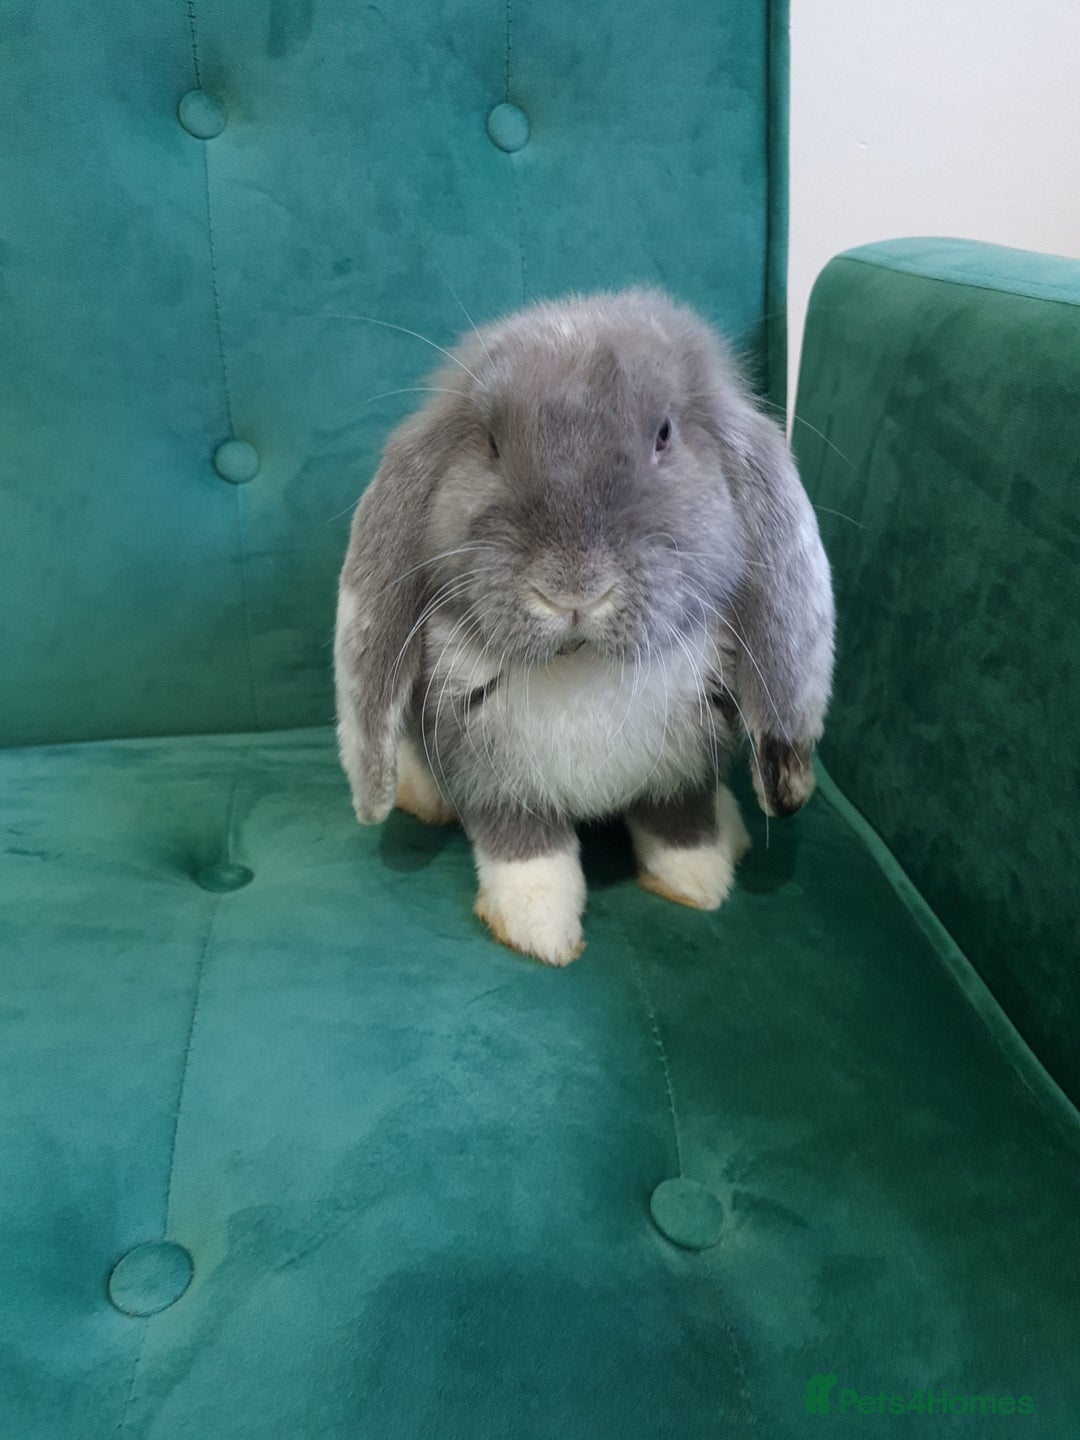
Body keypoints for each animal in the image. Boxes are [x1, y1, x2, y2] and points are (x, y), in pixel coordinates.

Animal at [334, 289, 835, 966]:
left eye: (664, 434)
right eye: (490, 443)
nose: (572, 591)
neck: (582, 667)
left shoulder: (687, 761)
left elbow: (681, 821)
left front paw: (696, 881)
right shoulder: (493, 777)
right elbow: (524, 848)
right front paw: (539, 927)